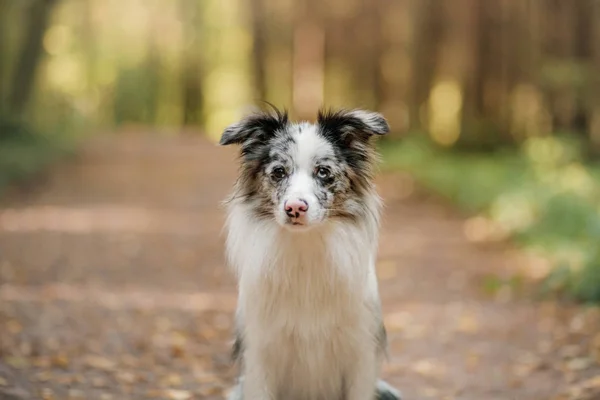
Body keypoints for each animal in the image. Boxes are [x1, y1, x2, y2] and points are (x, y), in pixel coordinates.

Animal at [218, 106, 400, 400]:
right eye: (279, 172)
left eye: (323, 172)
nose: (294, 208)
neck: (305, 250)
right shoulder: (260, 354)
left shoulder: (360, 353)